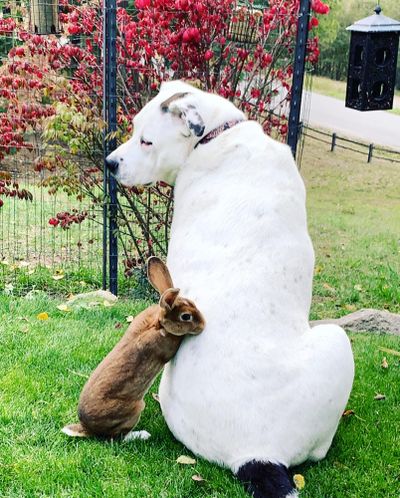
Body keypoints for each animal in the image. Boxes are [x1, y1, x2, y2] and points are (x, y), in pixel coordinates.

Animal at [63, 256, 206, 440]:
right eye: (186, 316)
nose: (203, 325)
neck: (159, 324)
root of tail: (89, 429)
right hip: (135, 409)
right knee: (118, 438)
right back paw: (142, 435)